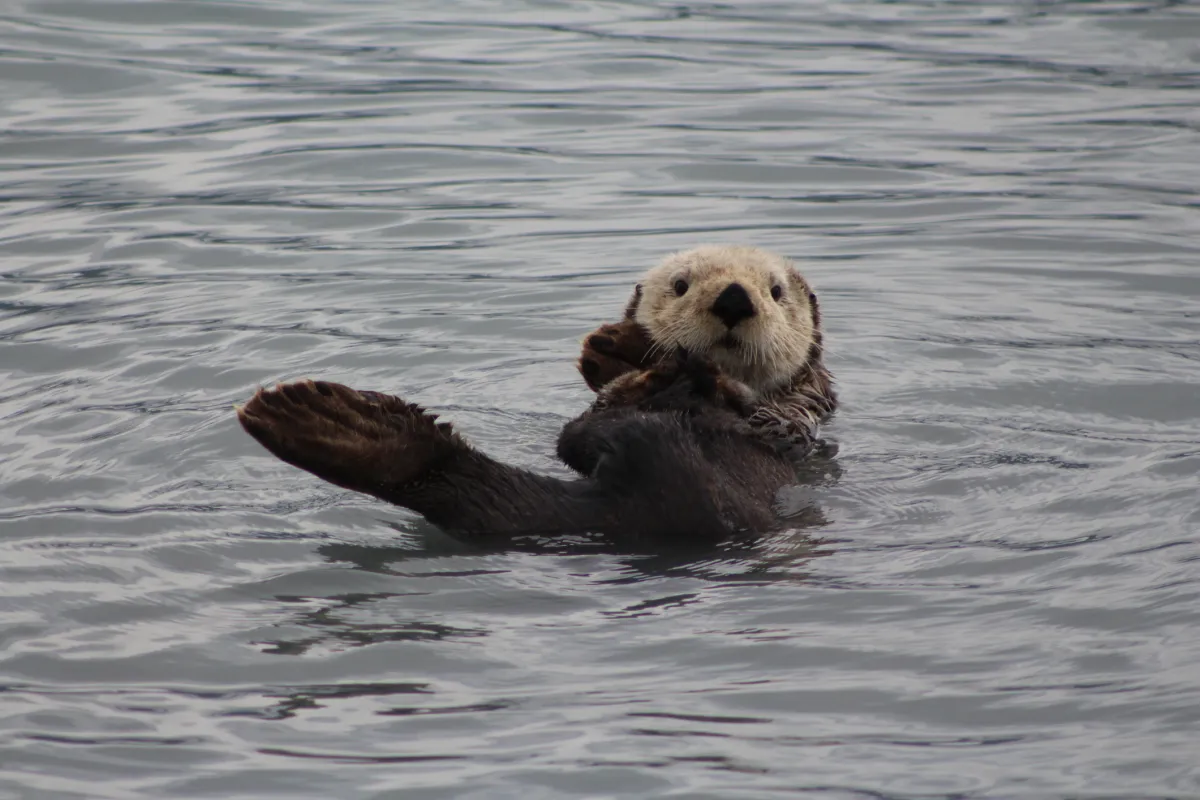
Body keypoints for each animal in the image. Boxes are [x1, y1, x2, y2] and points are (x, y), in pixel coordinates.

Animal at [234, 245, 835, 544]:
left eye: (775, 292)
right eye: (681, 285)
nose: (734, 298)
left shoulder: (798, 407)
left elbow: (767, 414)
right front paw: (618, 350)